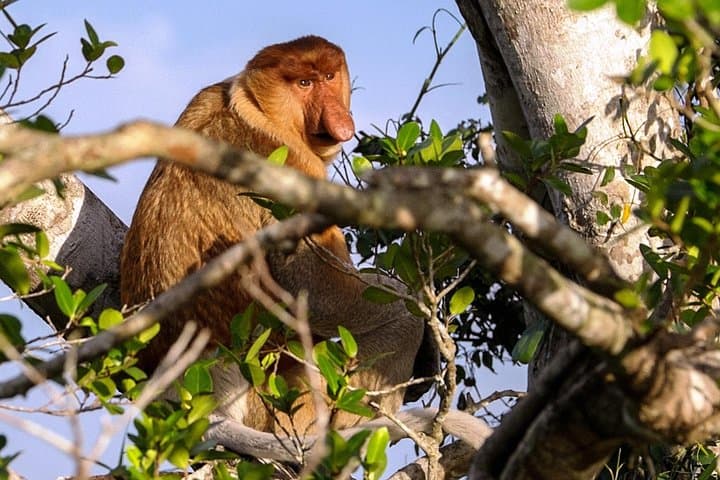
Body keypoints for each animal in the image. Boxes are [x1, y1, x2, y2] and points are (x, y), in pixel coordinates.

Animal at [120, 36, 429, 436]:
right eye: (304, 84)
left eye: (329, 77)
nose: (339, 119)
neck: (254, 109)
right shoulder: (293, 169)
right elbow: (315, 290)